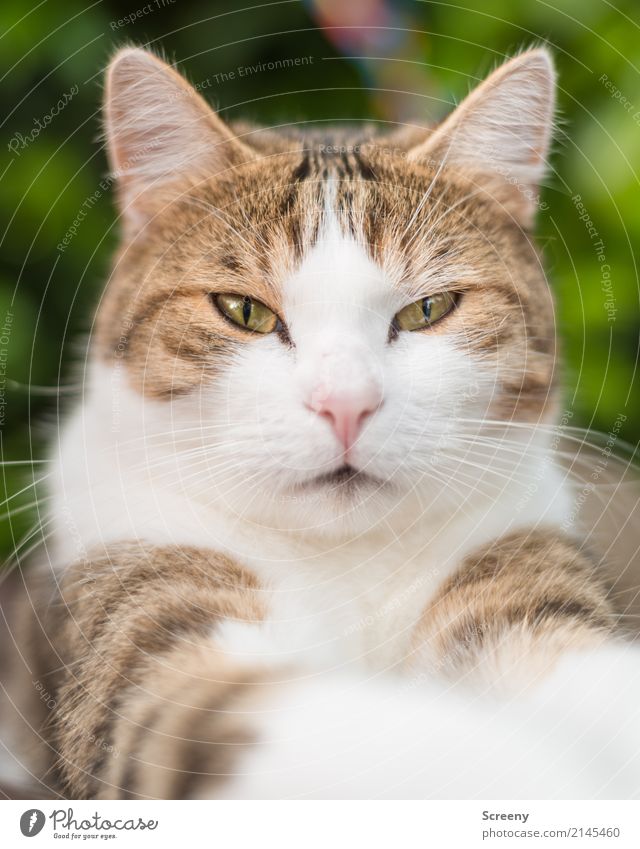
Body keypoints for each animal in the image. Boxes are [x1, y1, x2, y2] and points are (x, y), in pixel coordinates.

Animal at [1, 44, 640, 800]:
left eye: (429, 309)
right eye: (244, 311)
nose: (346, 403)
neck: (347, 560)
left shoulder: (515, 559)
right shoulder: (140, 607)